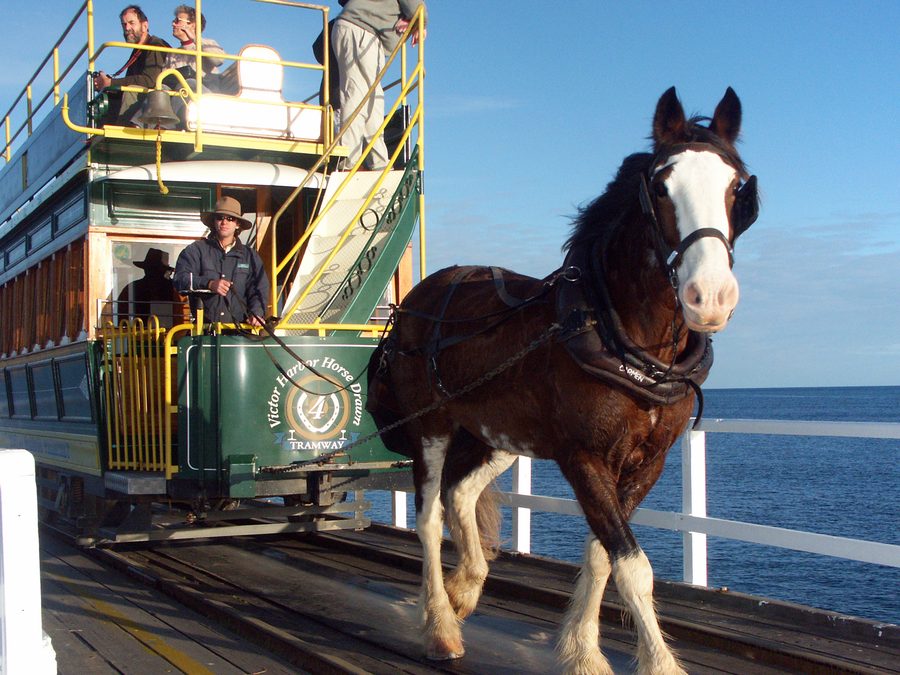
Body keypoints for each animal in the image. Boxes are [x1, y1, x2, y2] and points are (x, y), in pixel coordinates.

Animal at [366, 87, 758, 674]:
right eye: (661, 185)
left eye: (737, 186)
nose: (709, 296)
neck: (623, 334)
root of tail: (415, 300)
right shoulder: (583, 456)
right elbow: (632, 565)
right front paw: (652, 661)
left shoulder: (647, 461)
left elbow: (602, 553)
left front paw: (580, 647)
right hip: (431, 426)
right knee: (430, 518)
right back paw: (440, 624)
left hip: (495, 435)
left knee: (461, 494)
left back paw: (466, 587)